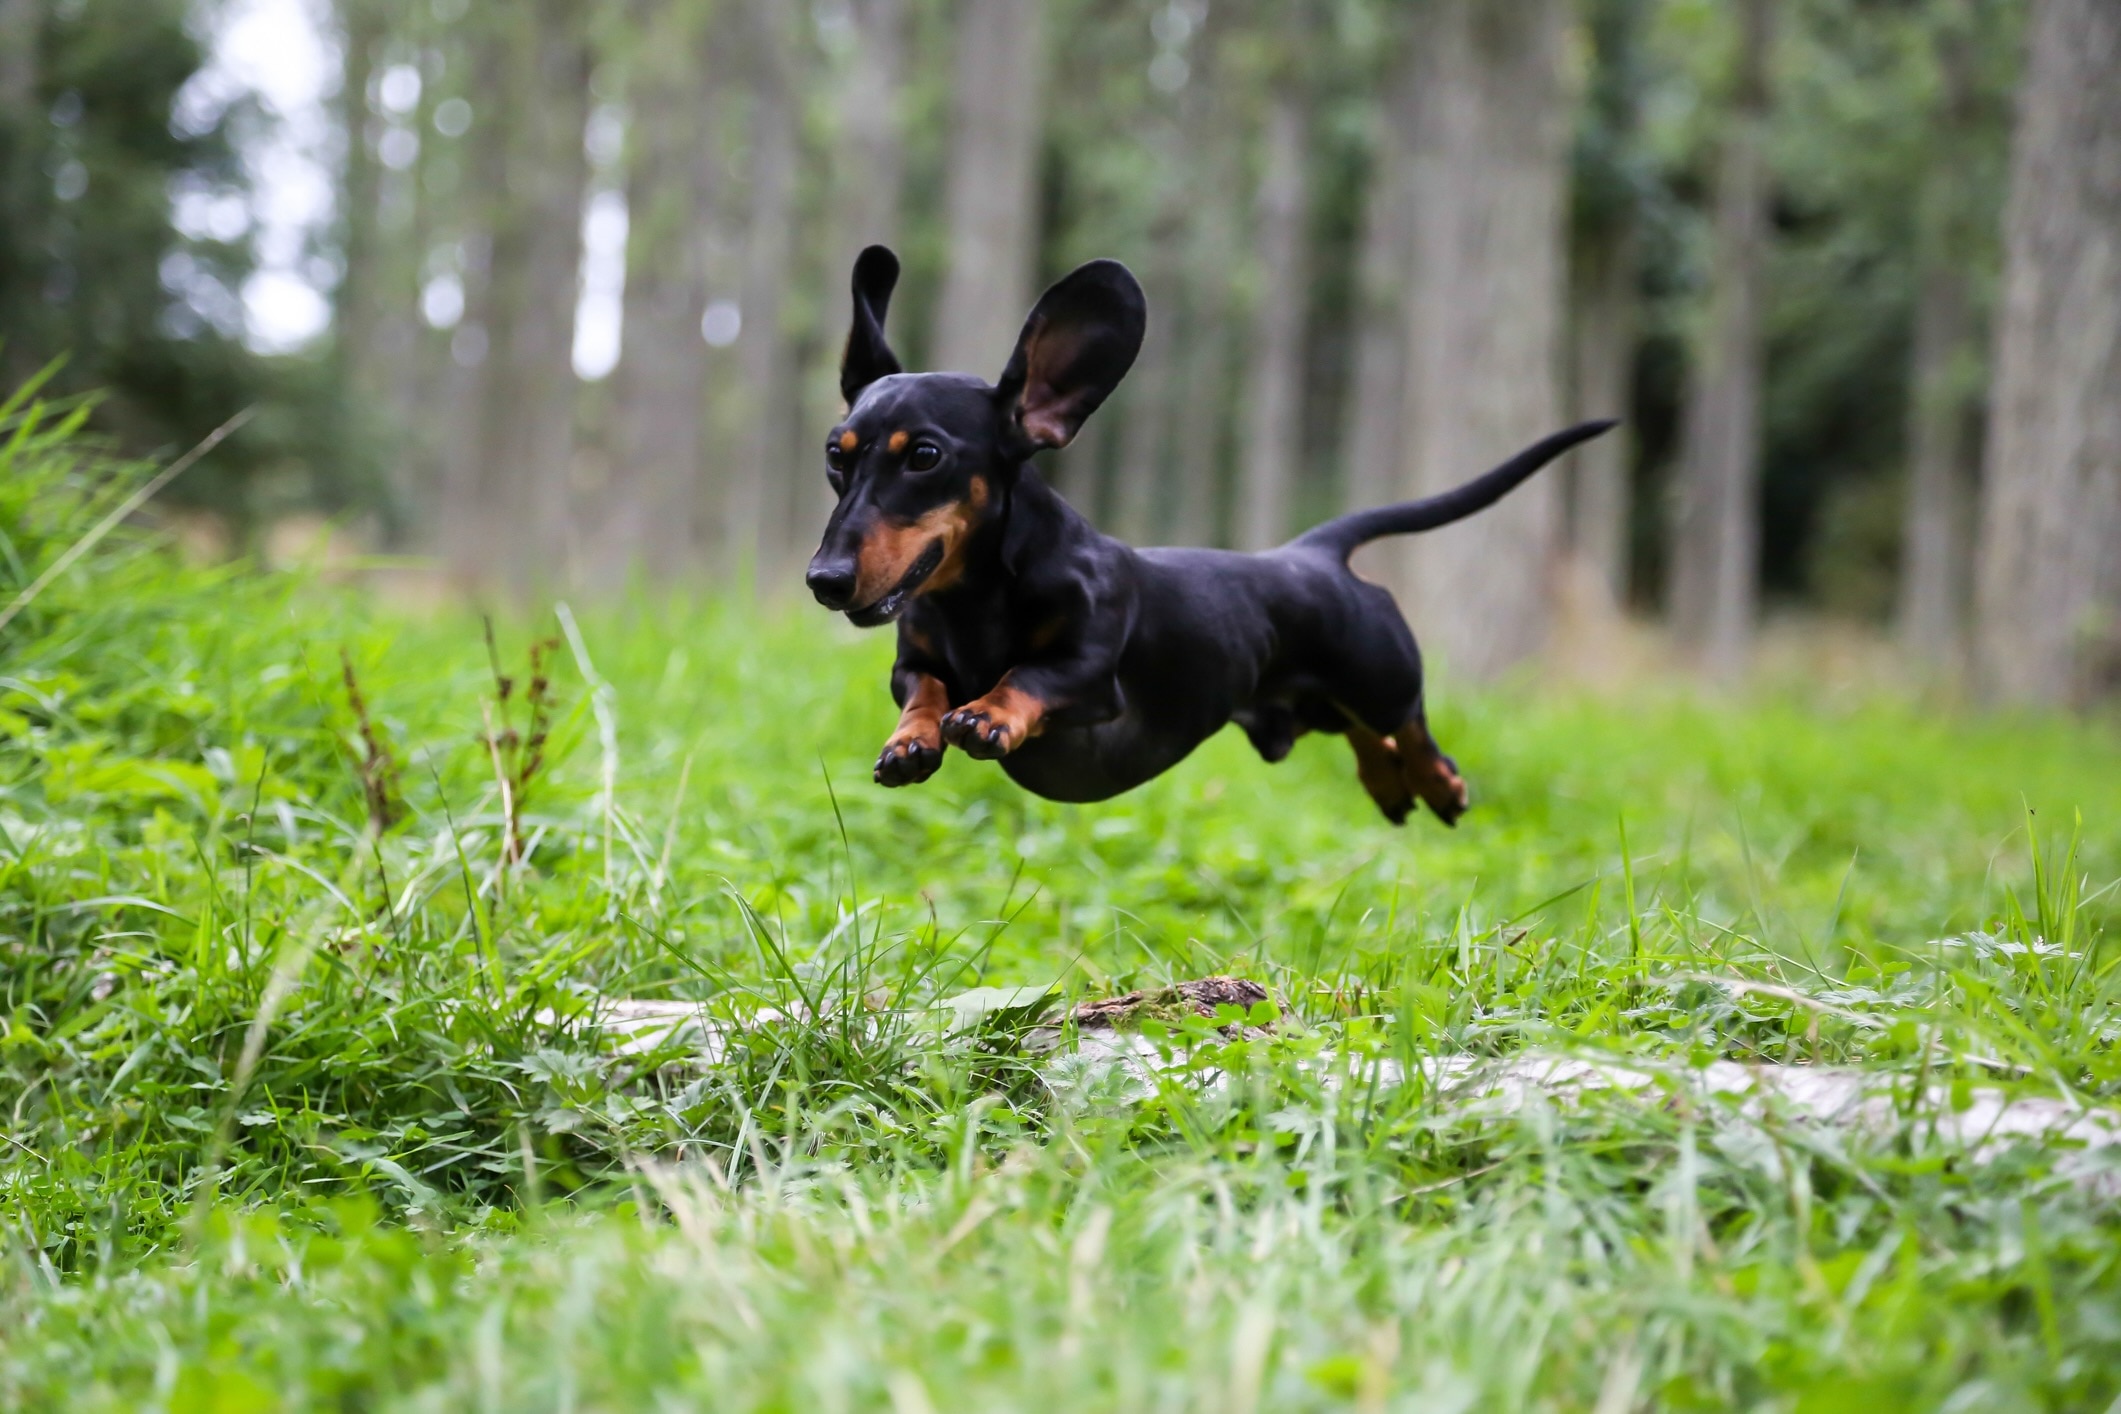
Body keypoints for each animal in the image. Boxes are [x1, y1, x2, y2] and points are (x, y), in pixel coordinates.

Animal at [801, 245, 1611, 831]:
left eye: (925, 456)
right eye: (835, 455)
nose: (824, 580)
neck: (975, 598)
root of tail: (1311, 552)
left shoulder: (1090, 672)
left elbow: (1028, 676)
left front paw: (988, 713)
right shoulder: (912, 662)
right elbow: (925, 688)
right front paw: (910, 739)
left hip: (1377, 672)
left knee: (1405, 721)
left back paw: (1439, 784)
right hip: (1318, 702)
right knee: (1363, 734)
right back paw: (1389, 786)